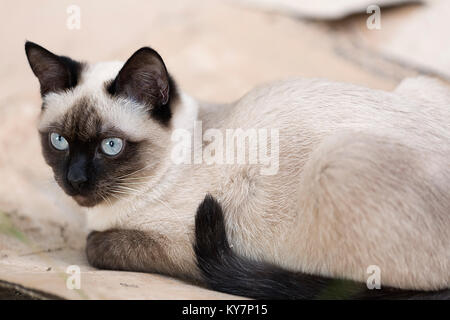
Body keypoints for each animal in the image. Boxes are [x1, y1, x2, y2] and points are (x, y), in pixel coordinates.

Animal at [25, 41, 450, 298]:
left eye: (110, 146)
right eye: (59, 141)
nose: (75, 180)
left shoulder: (180, 246)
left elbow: (96, 245)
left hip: (337, 161)